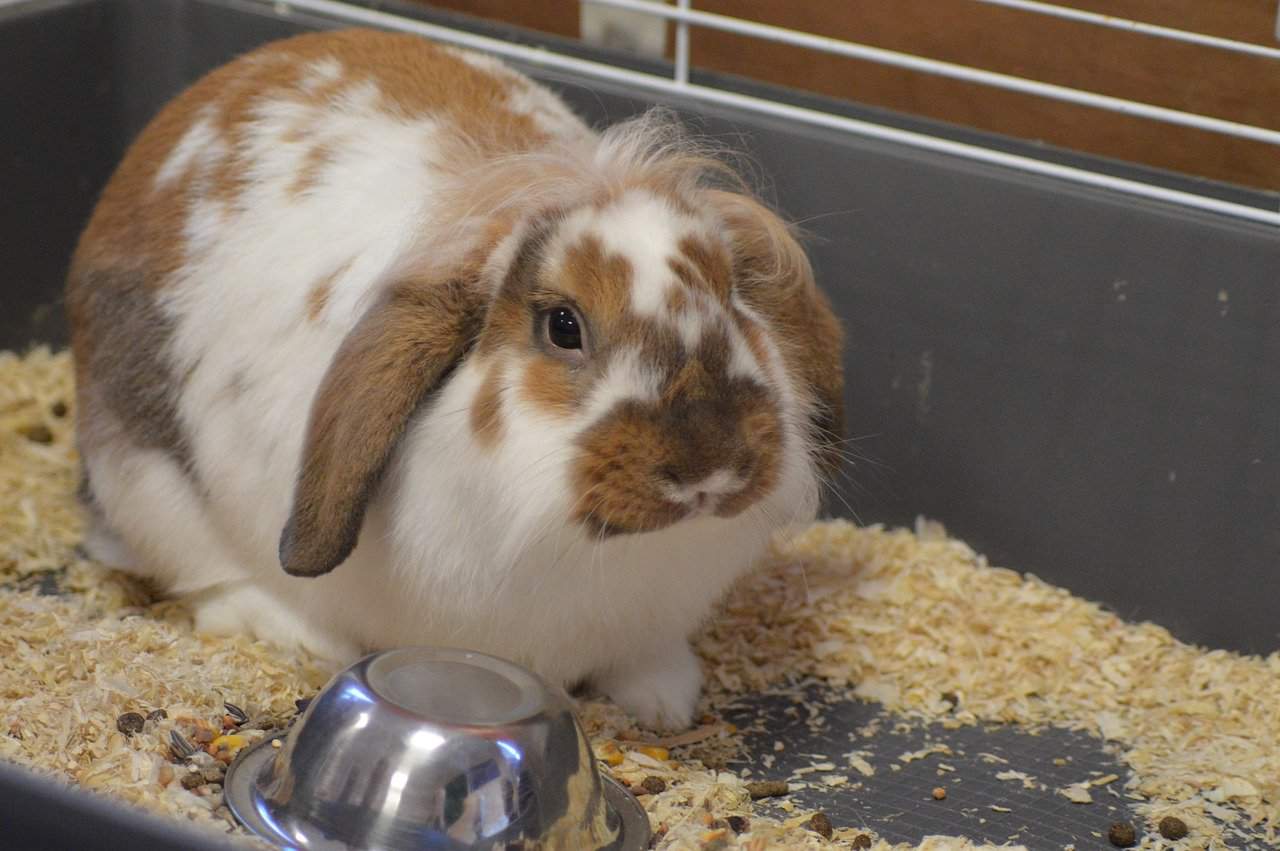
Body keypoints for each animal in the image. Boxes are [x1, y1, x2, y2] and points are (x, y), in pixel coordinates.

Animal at [65, 28, 844, 731]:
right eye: (564, 326)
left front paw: (666, 703)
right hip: (142, 476)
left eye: (732, 298)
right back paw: (286, 629)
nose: (709, 468)